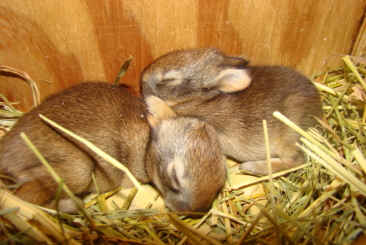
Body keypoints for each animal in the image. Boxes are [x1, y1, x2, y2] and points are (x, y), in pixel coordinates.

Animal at [0, 82, 224, 214]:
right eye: (175, 177)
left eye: (220, 181)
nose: (196, 211)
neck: (146, 144)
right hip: (78, 168)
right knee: (24, 197)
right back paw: (71, 206)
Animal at [141, 47, 324, 174]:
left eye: (170, 79)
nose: (141, 80)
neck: (199, 99)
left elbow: (169, 114)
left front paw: (152, 103)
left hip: (290, 134)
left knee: (294, 161)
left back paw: (251, 167)